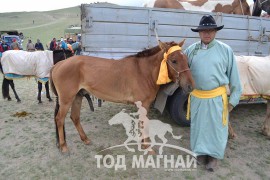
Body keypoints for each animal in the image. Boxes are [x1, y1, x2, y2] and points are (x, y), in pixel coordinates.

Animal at [50, 40, 194, 153]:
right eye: (174, 61)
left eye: (186, 60)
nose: (190, 86)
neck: (143, 71)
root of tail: (58, 64)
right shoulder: (144, 104)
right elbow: (144, 123)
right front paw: (147, 147)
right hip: (66, 99)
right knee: (59, 119)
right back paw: (64, 146)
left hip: (77, 97)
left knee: (75, 117)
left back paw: (85, 139)